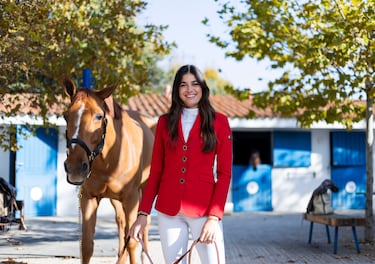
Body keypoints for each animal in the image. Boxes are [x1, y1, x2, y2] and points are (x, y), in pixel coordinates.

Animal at [63, 78, 154, 264]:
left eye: (99, 116)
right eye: (66, 116)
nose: (75, 167)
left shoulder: (132, 199)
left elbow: (132, 242)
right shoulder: (88, 198)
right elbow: (86, 246)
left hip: (144, 190)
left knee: (143, 226)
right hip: (116, 200)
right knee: (121, 223)